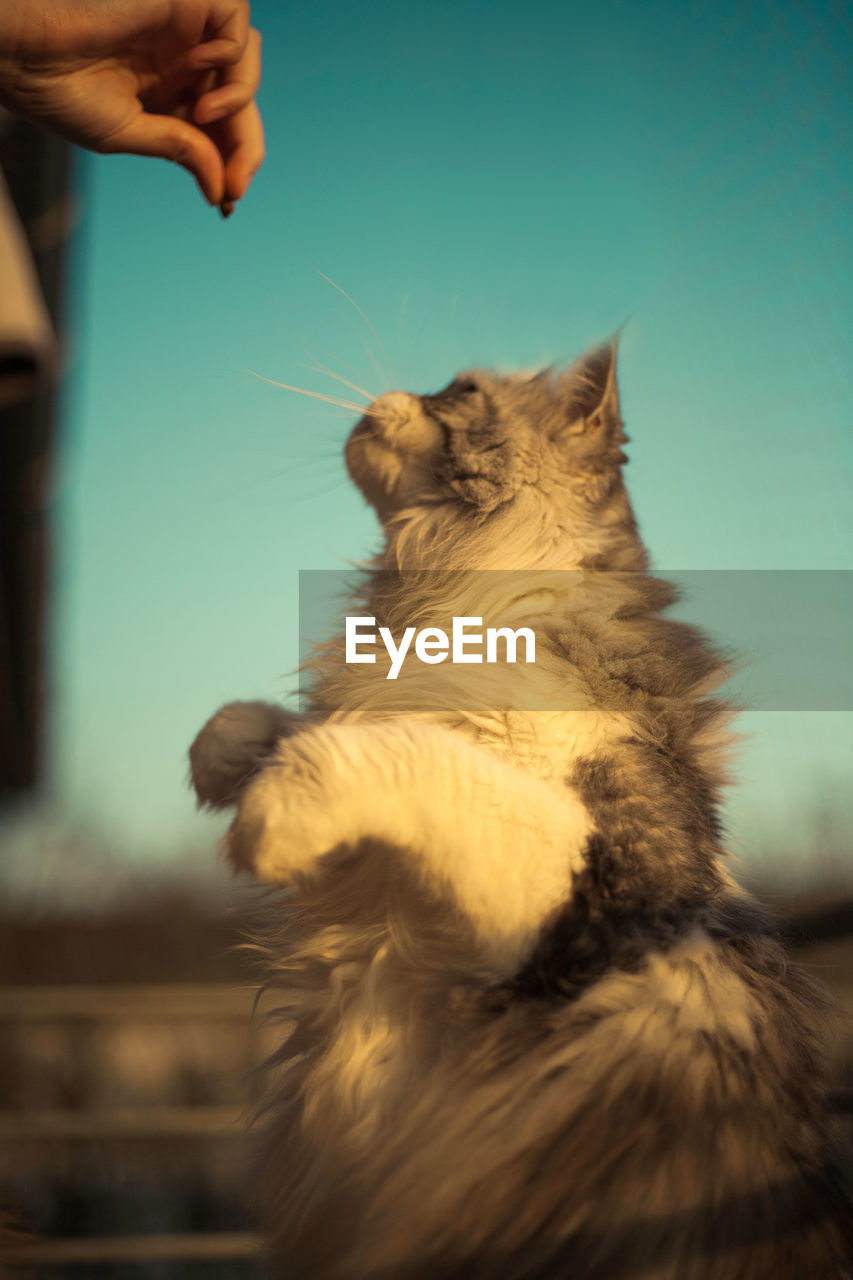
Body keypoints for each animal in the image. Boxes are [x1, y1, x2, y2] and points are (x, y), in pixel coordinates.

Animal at [189, 343, 845, 1280]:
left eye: (458, 393)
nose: (388, 394)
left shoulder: (564, 903)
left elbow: (412, 754)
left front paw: (272, 815)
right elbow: (303, 722)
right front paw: (224, 756)